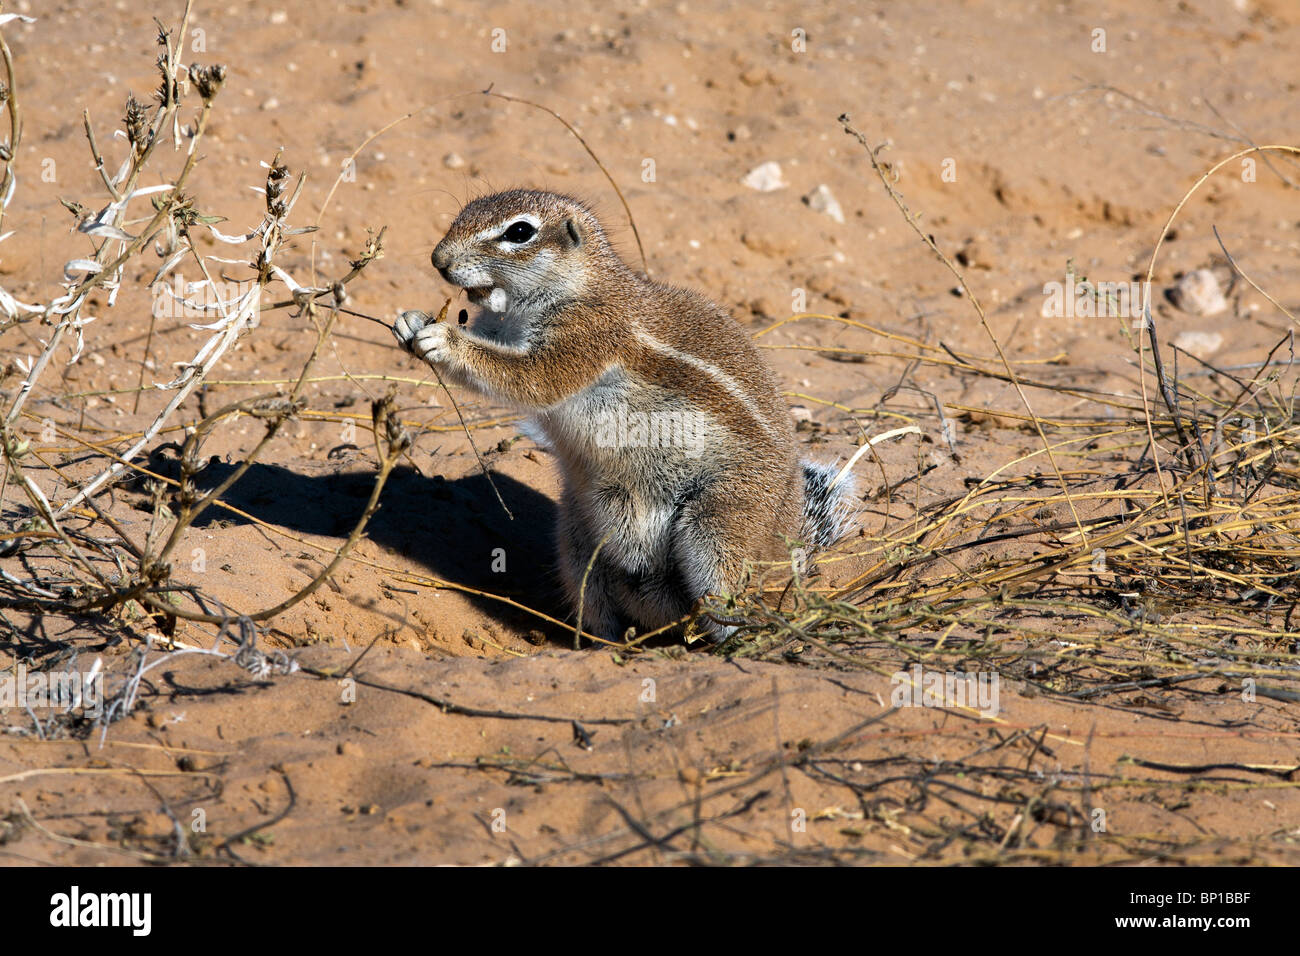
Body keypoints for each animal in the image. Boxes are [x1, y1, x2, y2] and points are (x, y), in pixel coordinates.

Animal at [390, 188, 852, 642]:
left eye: (519, 232)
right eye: (465, 211)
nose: (438, 260)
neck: (578, 286)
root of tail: (790, 545)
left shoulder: (588, 336)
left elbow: (529, 379)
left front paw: (443, 340)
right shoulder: (501, 328)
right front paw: (410, 321)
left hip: (723, 521)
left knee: (739, 592)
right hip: (576, 538)